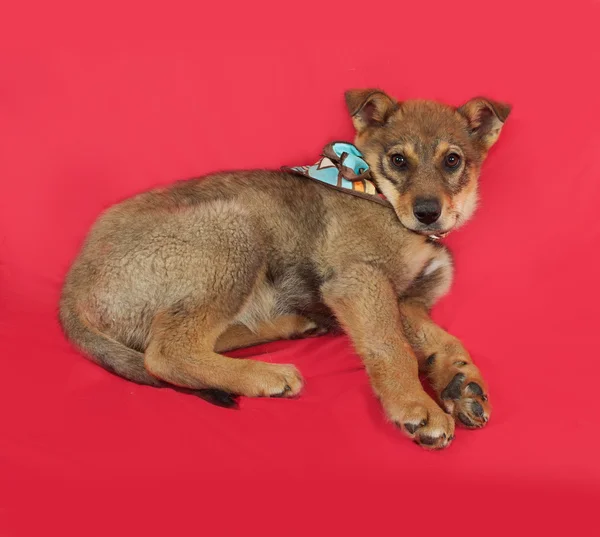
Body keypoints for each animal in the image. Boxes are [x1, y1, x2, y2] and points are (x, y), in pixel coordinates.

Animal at [59, 89, 510, 448]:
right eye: (398, 160)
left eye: (452, 161)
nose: (428, 213)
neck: (379, 196)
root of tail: (71, 289)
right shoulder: (360, 280)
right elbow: (392, 345)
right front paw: (416, 404)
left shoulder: (408, 301)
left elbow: (445, 340)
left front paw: (462, 383)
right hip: (233, 230)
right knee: (168, 352)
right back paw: (268, 375)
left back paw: (292, 326)